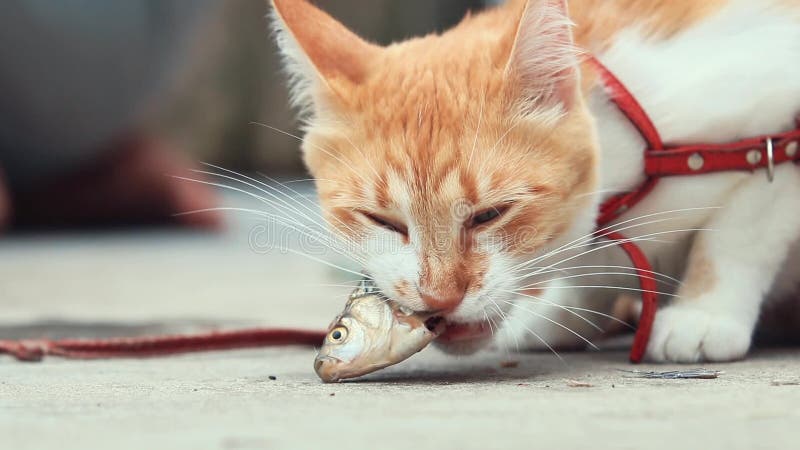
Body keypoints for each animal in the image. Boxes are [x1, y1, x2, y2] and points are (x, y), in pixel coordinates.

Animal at [270, 0, 800, 364]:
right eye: (383, 221)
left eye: (489, 215)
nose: (440, 298)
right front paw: (570, 310)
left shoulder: (777, 138)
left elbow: (738, 235)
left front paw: (704, 313)